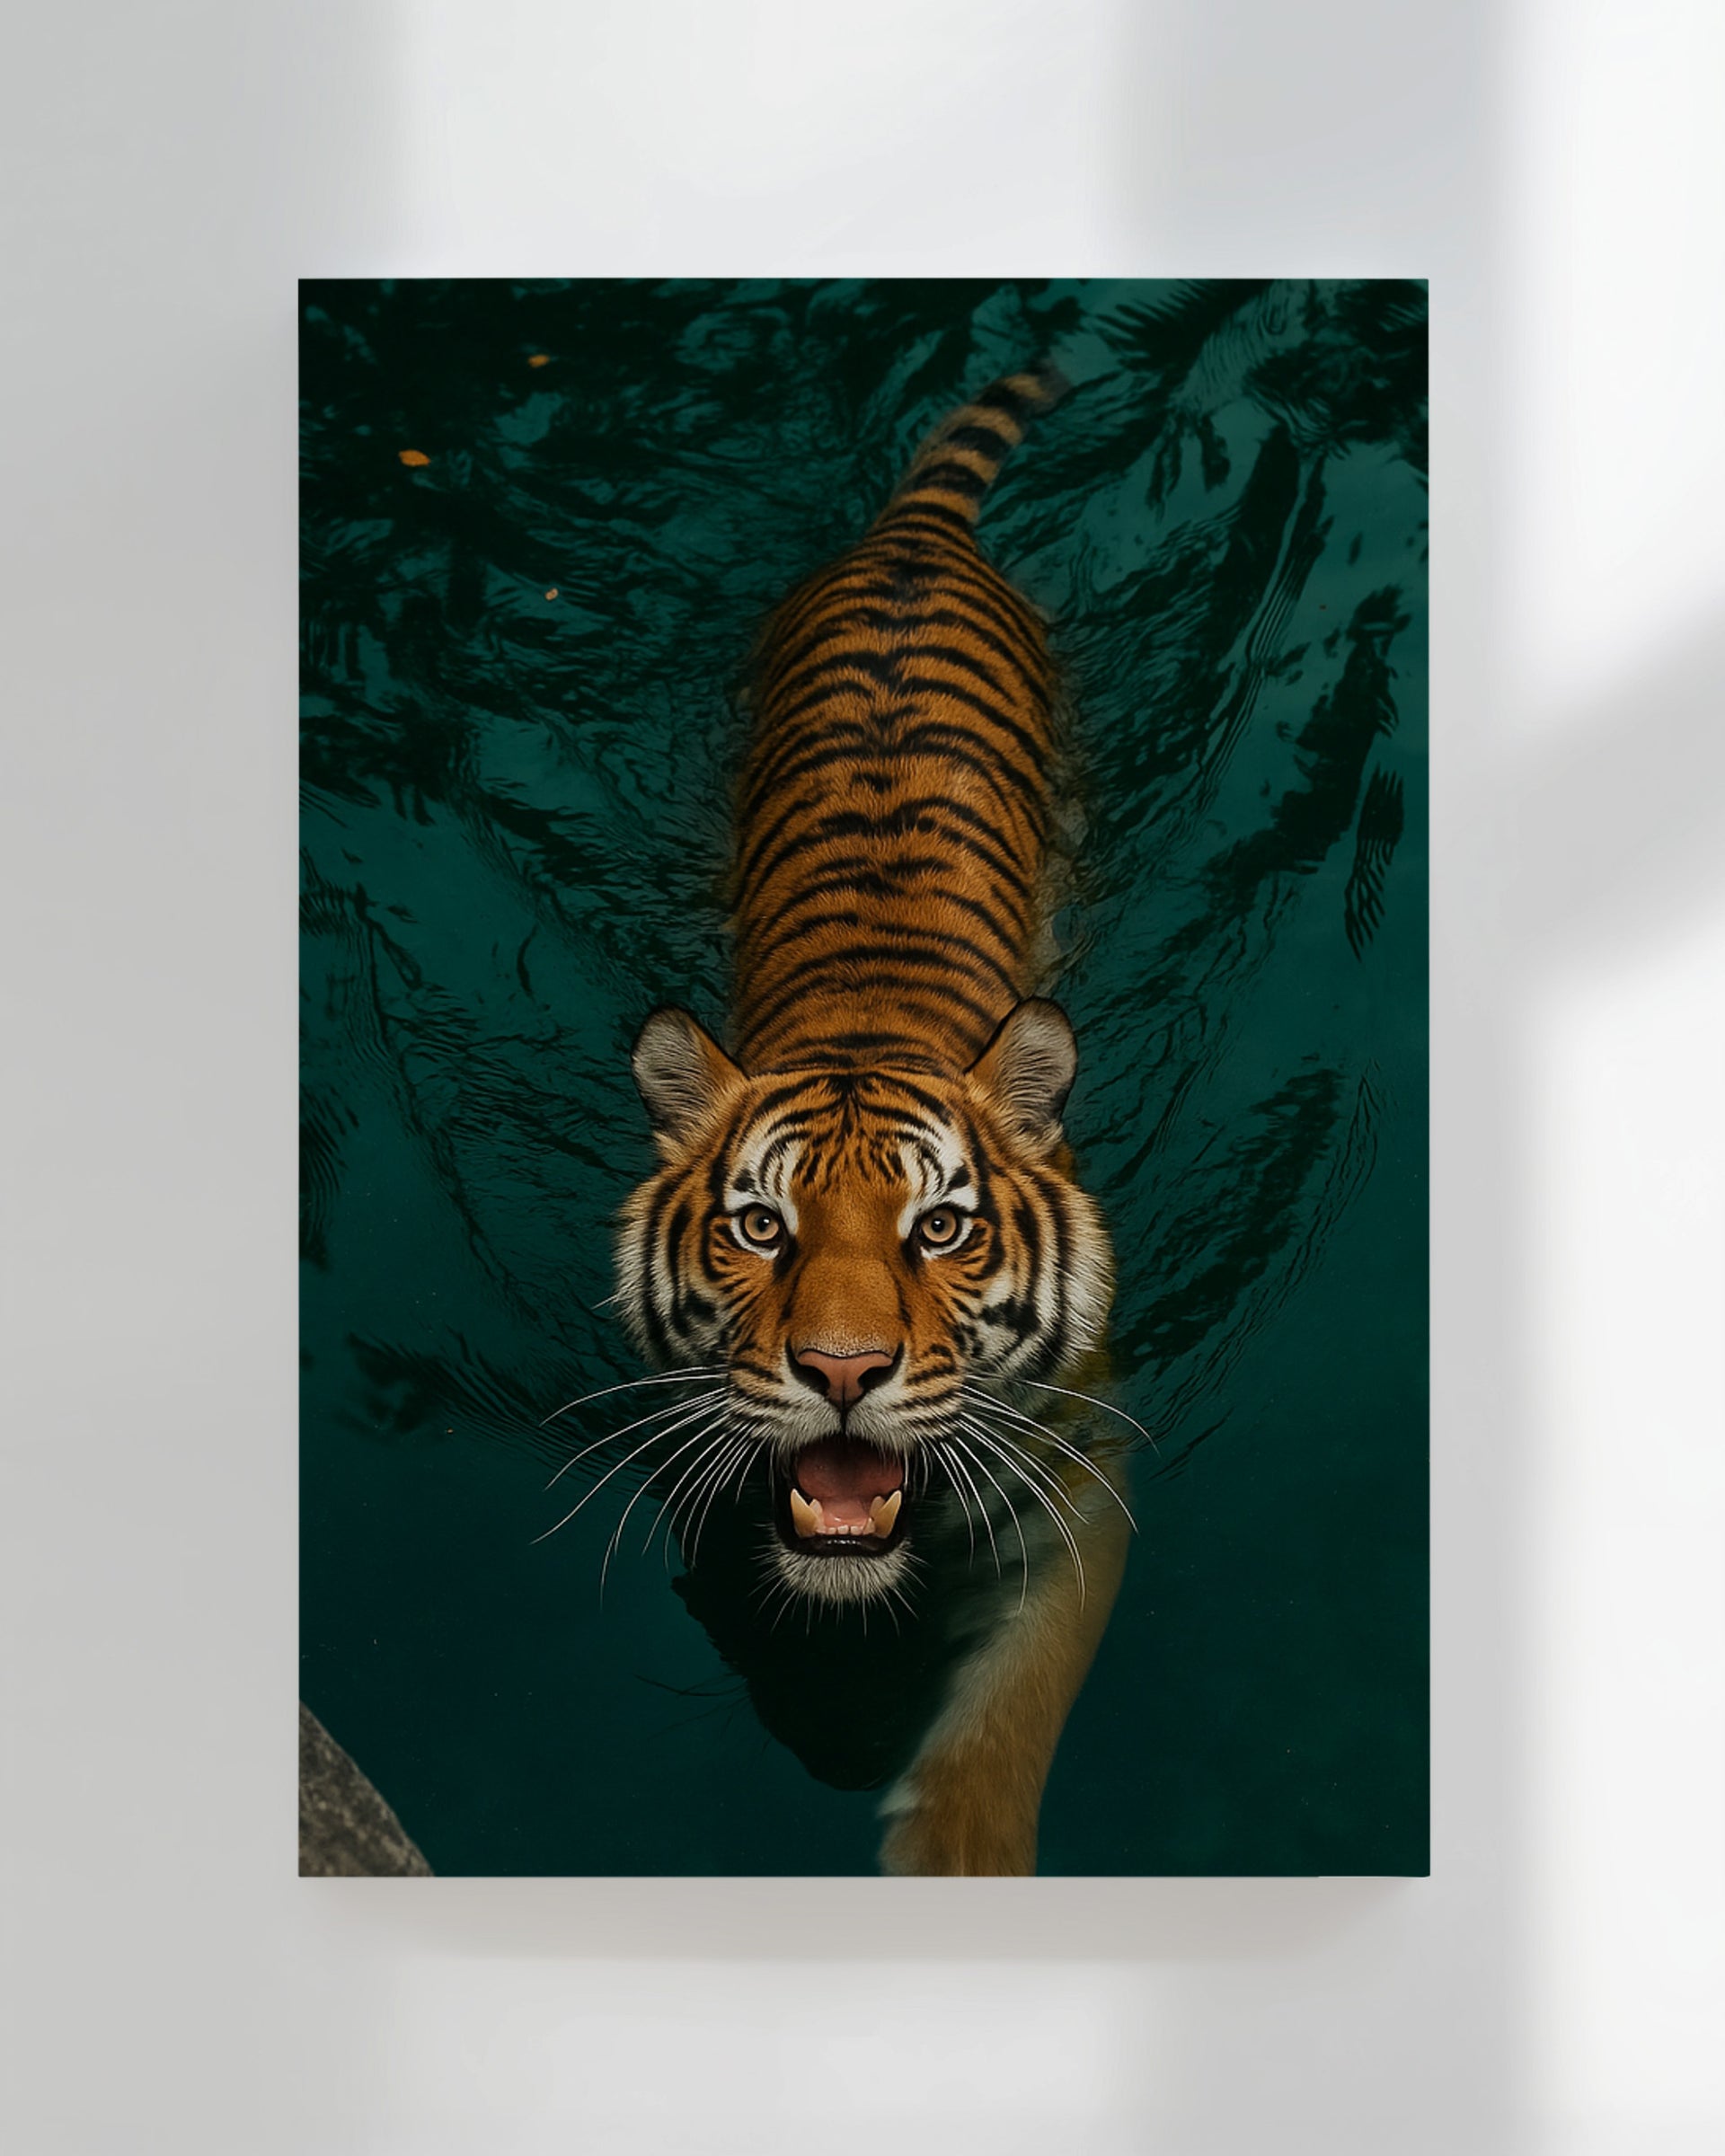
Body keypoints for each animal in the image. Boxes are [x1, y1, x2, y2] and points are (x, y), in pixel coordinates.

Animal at [614, 365, 1134, 1876]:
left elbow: (1029, 1684)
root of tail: (915, 535)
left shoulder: (1081, 1472)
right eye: (759, 1228)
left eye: (942, 1228)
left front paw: (960, 1849)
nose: (842, 1370)